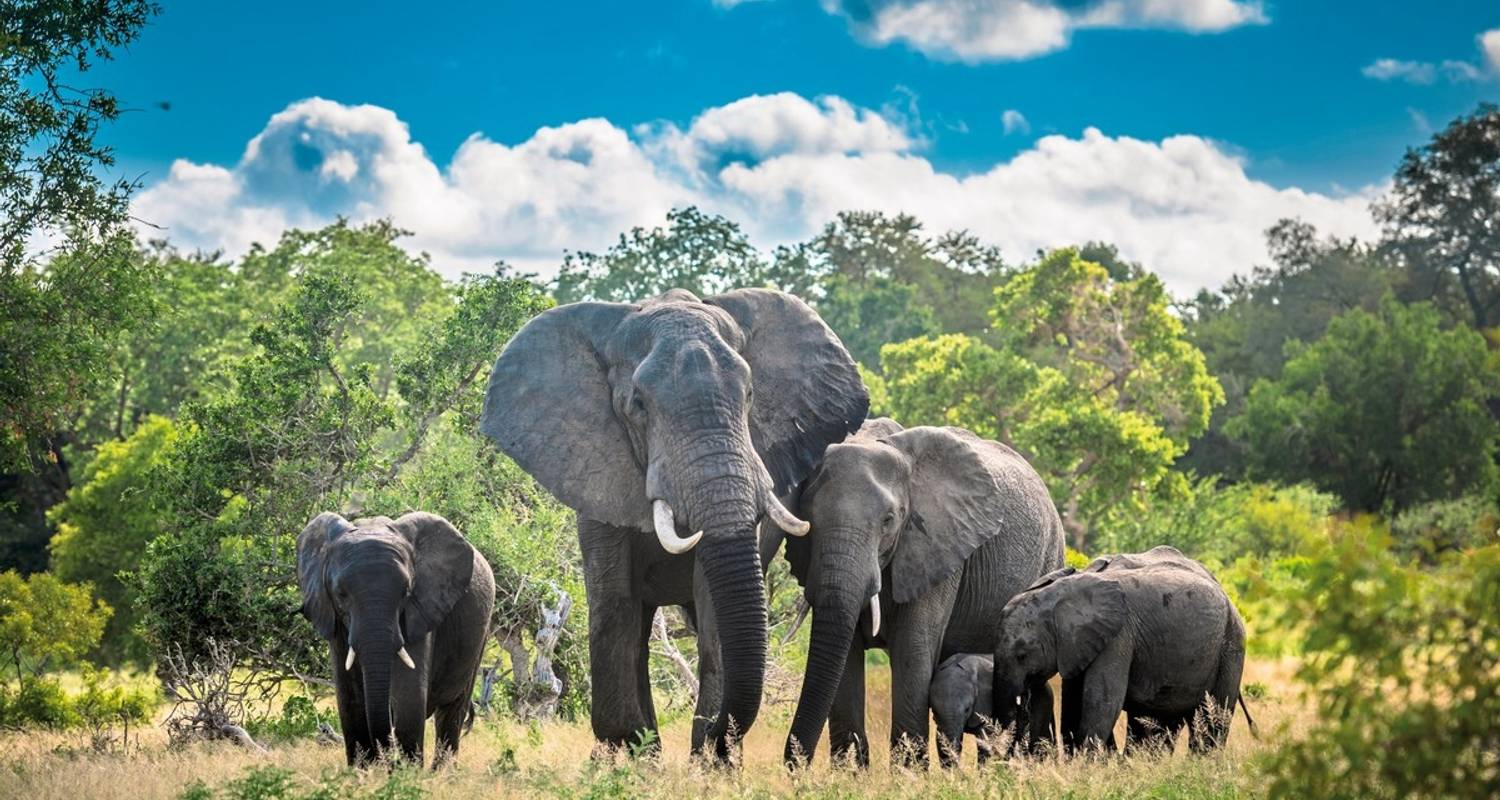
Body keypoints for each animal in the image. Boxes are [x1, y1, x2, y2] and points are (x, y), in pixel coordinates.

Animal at [295, 510, 495, 768]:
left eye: (406, 592)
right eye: (340, 594)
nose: (389, 762)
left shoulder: (421, 610)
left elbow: (409, 697)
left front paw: (407, 773)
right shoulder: (335, 621)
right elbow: (349, 699)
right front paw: (361, 772)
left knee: (452, 710)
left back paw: (441, 773)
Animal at [474, 288, 864, 762]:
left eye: (750, 394)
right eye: (637, 406)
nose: (717, 734)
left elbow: (713, 604)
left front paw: (709, 761)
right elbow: (614, 601)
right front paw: (632, 756)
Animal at [780, 420, 1074, 765]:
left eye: (889, 520)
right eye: (808, 517)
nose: (794, 764)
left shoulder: (938, 547)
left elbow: (912, 648)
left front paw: (908, 771)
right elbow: (846, 654)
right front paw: (850, 772)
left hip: (1049, 557)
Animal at [990, 543, 1248, 753]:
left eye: (1022, 655)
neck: (1061, 591)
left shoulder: (1118, 637)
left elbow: (1101, 703)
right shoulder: (1078, 645)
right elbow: (1074, 703)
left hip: (1231, 645)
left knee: (1212, 719)